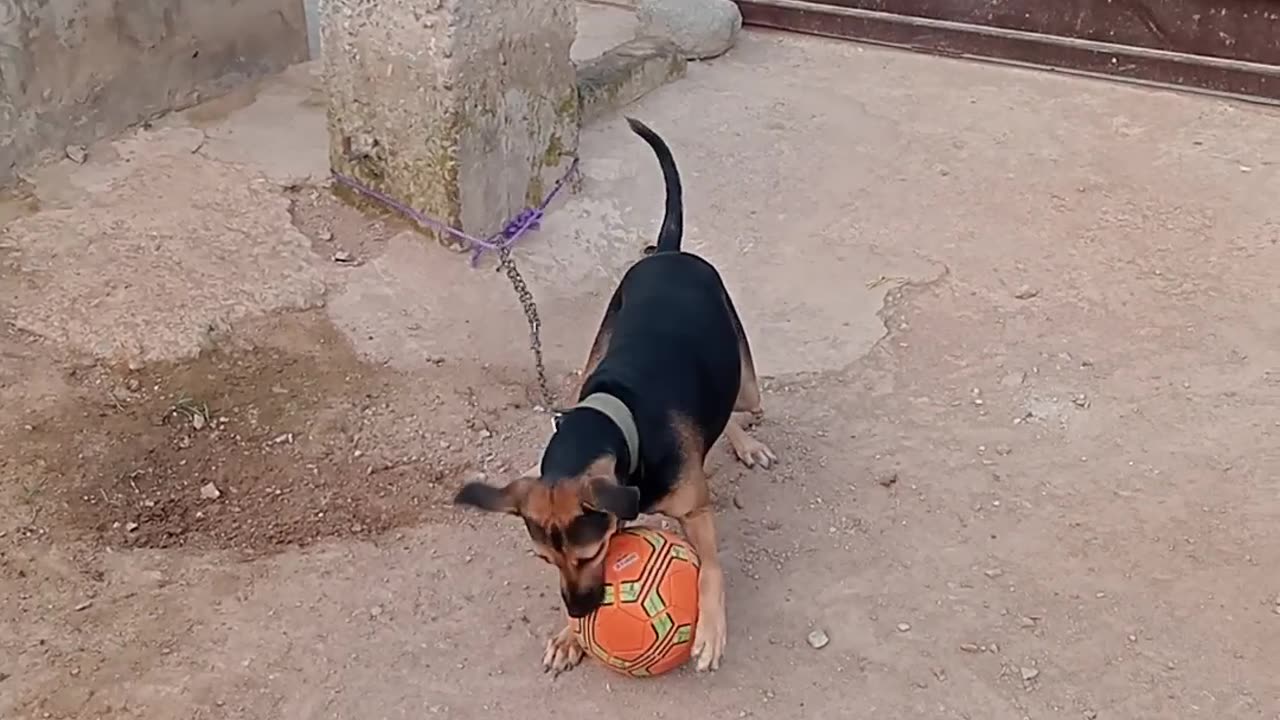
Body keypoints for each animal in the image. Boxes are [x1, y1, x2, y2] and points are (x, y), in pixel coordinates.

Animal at [455, 117, 773, 671]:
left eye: (586, 555)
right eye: (545, 560)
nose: (580, 609)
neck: (618, 416)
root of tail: (666, 252)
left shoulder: (694, 512)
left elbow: (711, 568)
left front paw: (711, 629)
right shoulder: (614, 515)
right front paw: (570, 634)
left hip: (747, 377)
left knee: (739, 401)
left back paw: (743, 440)